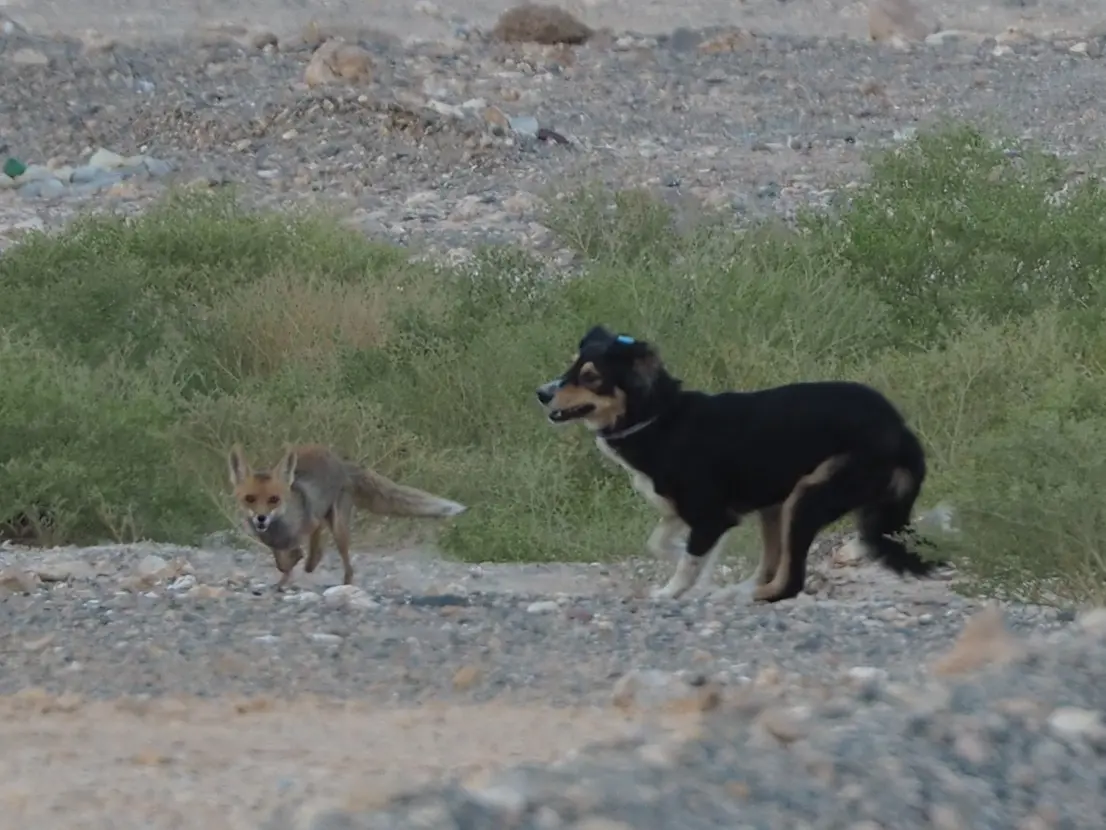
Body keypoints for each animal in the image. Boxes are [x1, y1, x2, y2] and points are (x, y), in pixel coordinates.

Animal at [227, 443, 467, 589]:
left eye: (273, 499)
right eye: (250, 499)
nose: (261, 518)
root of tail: (341, 462)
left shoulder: (311, 522)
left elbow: (298, 556)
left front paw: (299, 566)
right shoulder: (274, 543)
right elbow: (281, 561)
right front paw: (283, 578)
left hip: (339, 527)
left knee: (344, 561)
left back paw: (344, 583)